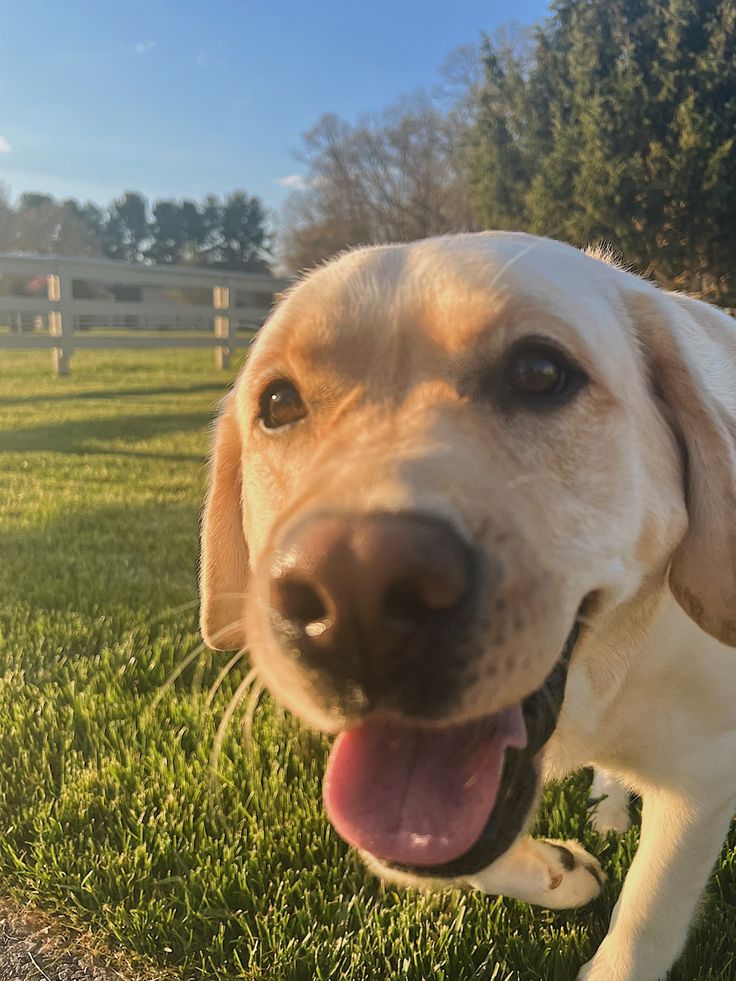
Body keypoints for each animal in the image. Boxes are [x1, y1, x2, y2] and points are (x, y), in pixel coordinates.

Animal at [198, 234, 736, 980]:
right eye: (278, 403)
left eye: (539, 372)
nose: (356, 594)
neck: (604, 676)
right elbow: (429, 853)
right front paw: (556, 870)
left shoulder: (704, 779)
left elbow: (644, 925)